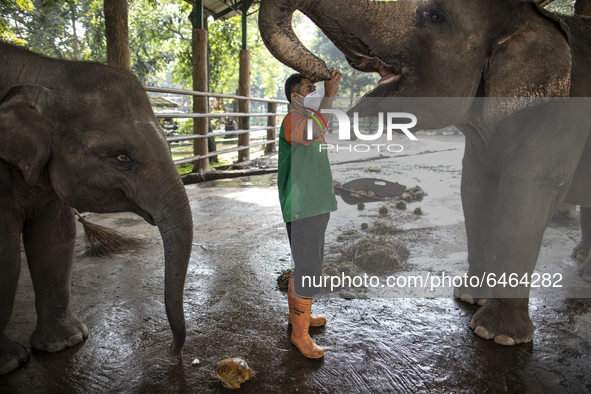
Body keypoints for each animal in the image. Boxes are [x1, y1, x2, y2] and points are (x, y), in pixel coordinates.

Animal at [0, 41, 193, 374]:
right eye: (122, 157)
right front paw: (11, 363)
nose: (172, 352)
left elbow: (56, 240)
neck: (47, 71)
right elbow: (6, 255)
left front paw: (65, 343)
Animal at [260, 0, 591, 344]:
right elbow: (474, 190)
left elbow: (525, 197)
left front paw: (497, 335)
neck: (529, 17)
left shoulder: (561, 116)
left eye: (435, 16)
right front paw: (471, 300)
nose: (324, 72)